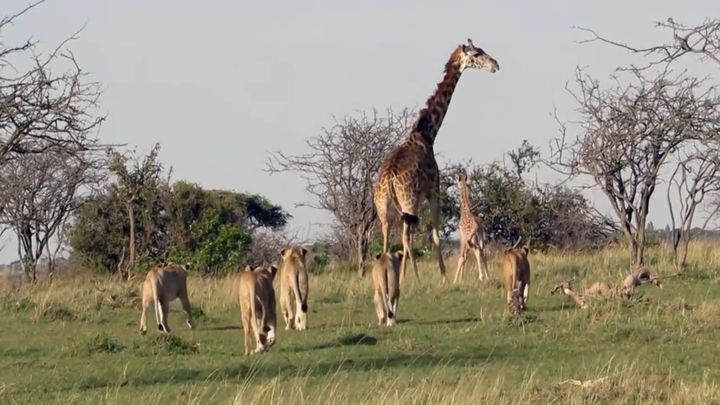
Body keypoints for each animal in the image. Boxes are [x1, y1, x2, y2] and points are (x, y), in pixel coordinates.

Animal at [374, 38, 498, 284]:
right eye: (477, 54)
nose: (495, 65)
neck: (427, 132)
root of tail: (389, 179)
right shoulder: (434, 190)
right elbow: (435, 235)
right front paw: (443, 278)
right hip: (408, 201)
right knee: (406, 237)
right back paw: (415, 279)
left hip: (384, 208)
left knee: (387, 237)